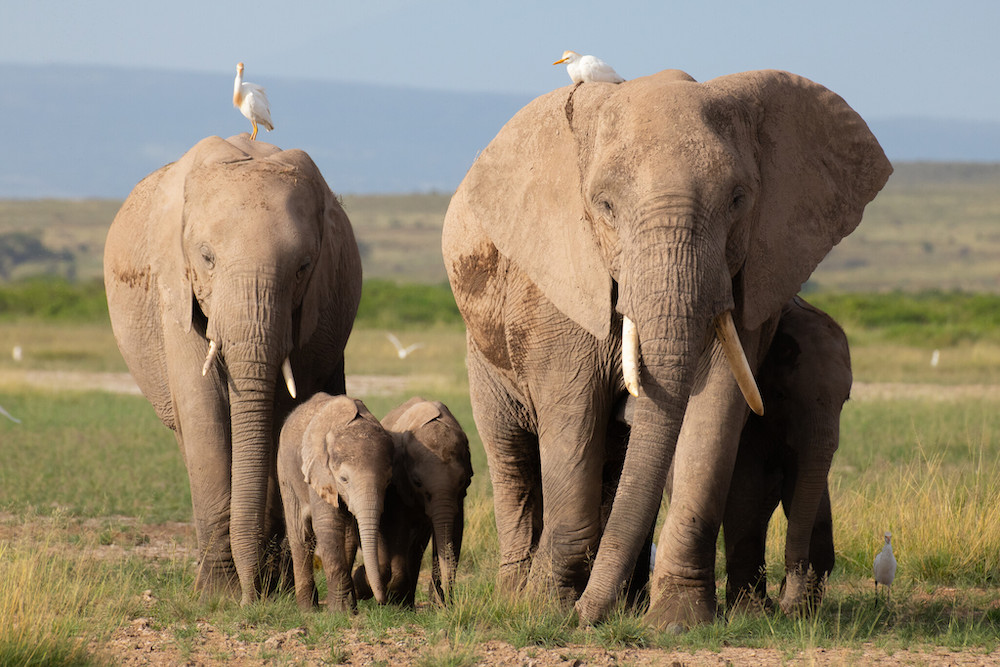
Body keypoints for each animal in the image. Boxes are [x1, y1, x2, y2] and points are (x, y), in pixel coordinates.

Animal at [104, 133, 364, 604]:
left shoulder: (308, 309)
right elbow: (202, 411)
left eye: (303, 267)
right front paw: (218, 595)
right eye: (206, 257)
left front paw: (268, 590)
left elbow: (282, 415)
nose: (250, 595)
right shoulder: (175, 289)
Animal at [280, 394, 396, 612]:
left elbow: (354, 533)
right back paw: (307, 610)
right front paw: (339, 612)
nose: (383, 602)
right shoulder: (320, 471)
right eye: (343, 479)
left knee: (347, 535)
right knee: (300, 534)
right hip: (286, 473)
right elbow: (328, 526)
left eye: (387, 481)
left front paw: (350, 606)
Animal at [354, 400, 474, 608]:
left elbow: (455, 530)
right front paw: (393, 598)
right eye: (417, 482)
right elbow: (399, 530)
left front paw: (440, 606)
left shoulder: (458, 497)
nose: (449, 602)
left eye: (462, 481)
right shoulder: (398, 486)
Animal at [440, 68, 892, 628]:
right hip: (482, 350)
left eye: (738, 200)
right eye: (604, 205)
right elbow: (573, 412)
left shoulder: (746, 277)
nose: (587, 618)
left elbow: (716, 409)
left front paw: (678, 620)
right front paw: (546, 609)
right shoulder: (559, 278)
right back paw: (517, 594)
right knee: (512, 456)